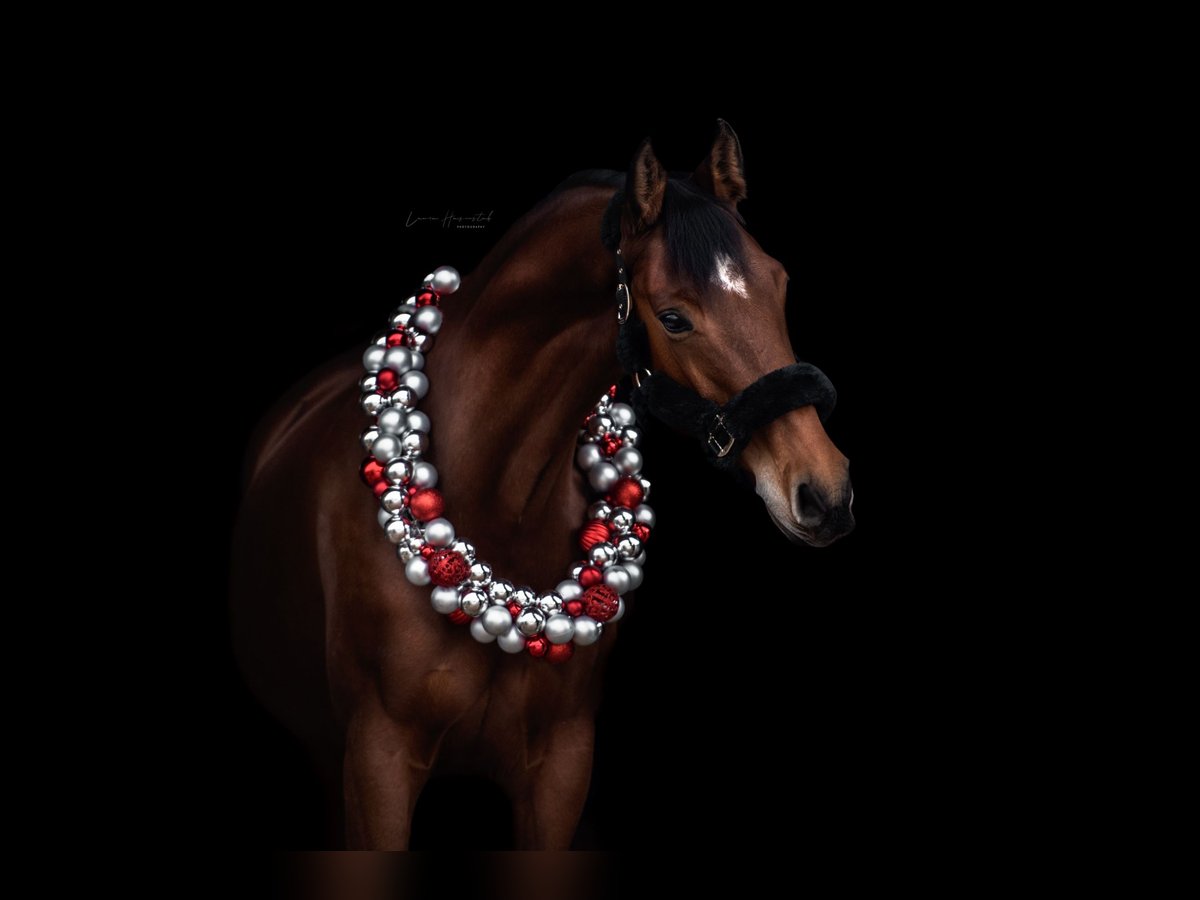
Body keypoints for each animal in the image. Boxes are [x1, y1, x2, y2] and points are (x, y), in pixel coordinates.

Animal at [230, 121, 855, 849]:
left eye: (779, 283)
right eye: (674, 318)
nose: (825, 492)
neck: (501, 508)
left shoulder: (560, 769)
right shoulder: (376, 764)